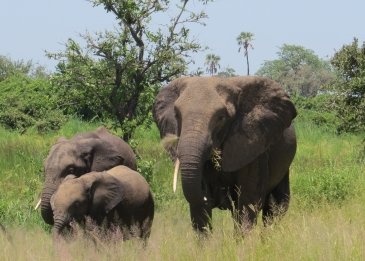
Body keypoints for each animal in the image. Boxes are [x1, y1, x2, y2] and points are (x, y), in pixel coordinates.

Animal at [152, 76, 298, 233]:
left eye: (221, 118)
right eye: (177, 115)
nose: (209, 194)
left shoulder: (254, 148)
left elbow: (247, 202)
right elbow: (199, 212)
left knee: (275, 207)